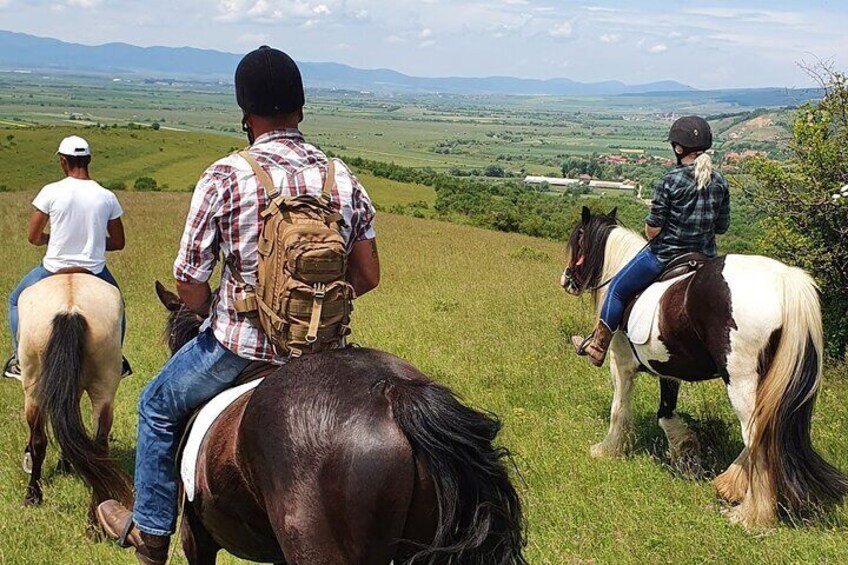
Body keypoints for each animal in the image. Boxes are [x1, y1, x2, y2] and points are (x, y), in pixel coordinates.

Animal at [15, 274, 131, 520]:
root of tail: (70, 309)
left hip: (33, 388)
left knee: (38, 440)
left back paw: (32, 495)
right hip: (105, 385)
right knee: (99, 443)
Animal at [564, 207, 848, 528]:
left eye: (578, 239)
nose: (566, 280)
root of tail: (786, 280)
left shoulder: (620, 363)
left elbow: (619, 410)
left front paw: (608, 449)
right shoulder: (668, 368)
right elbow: (666, 412)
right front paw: (684, 450)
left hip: (741, 381)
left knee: (757, 437)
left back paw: (750, 514)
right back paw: (730, 484)